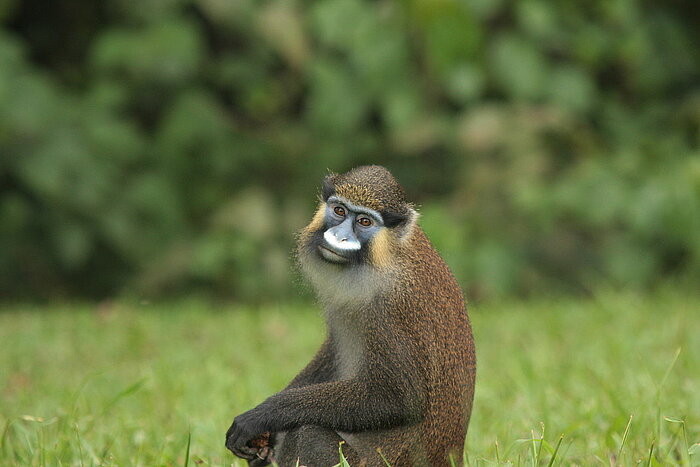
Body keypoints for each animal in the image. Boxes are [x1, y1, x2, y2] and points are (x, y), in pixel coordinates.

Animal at [224, 166, 476, 466]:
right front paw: (264, 438)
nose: (339, 236)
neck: (387, 254)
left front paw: (263, 416)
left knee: (308, 433)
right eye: (340, 210)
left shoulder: (389, 310)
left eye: (365, 221)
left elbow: (400, 399)